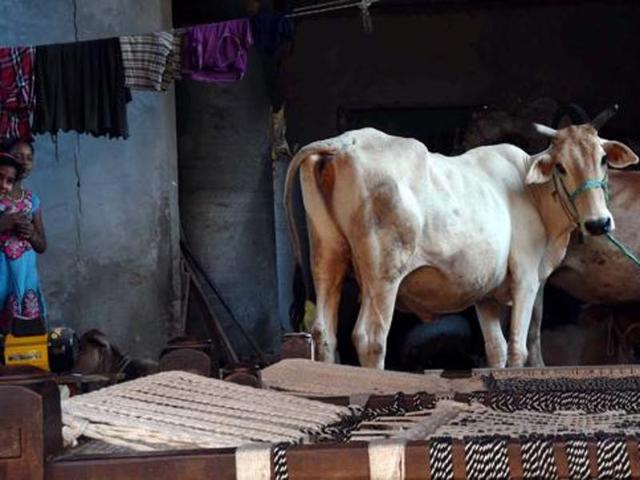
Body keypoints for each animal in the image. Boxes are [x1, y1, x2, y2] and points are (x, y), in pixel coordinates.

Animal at [284, 107, 638, 369]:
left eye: (603, 159)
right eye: (561, 167)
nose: (598, 223)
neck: (532, 193)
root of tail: (344, 142)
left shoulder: (485, 293)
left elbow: (496, 350)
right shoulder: (526, 276)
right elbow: (518, 348)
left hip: (327, 256)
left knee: (324, 334)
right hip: (383, 273)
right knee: (370, 337)